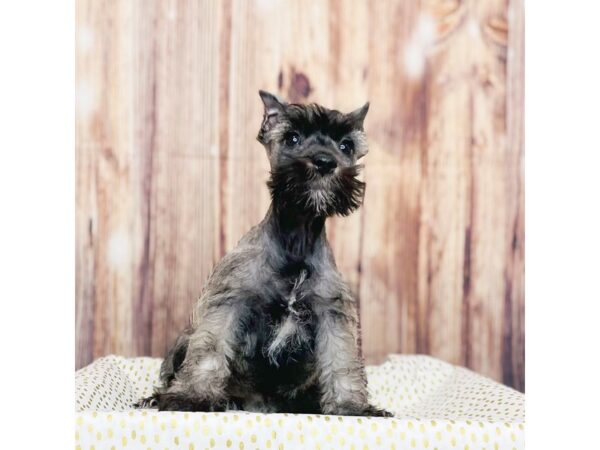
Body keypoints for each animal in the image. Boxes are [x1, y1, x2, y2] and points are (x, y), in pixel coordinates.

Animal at [138, 91, 394, 418]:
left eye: (346, 145)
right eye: (292, 138)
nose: (324, 162)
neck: (297, 238)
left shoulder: (332, 312)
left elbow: (341, 359)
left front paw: (351, 406)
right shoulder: (229, 302)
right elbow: (210, 349)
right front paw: (192, 397)